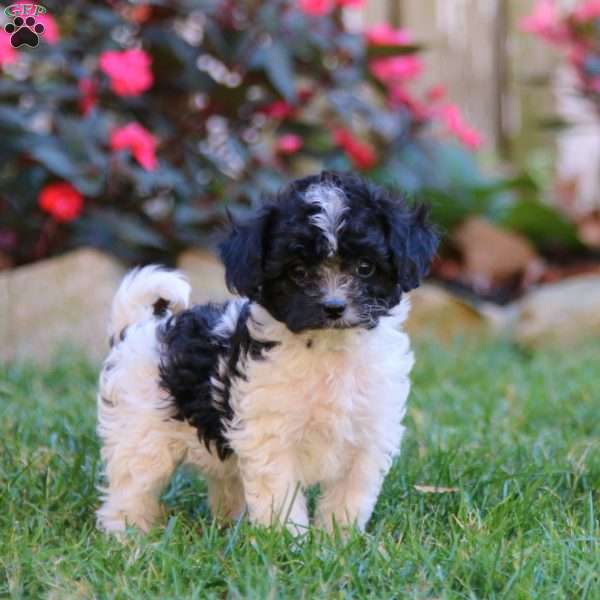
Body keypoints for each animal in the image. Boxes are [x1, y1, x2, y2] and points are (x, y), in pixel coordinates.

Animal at [96, 169, 438, 536]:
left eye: (364, 267)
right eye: (298, 271)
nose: (333, 307)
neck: (327, 347)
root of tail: (140, 328)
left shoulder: (367, 435)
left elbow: (349, 496)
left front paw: (338, 540)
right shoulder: (272, 436)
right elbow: (280, 495)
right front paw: (289, 541)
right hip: (140, 433)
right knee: (132, 486)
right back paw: (128, 535)